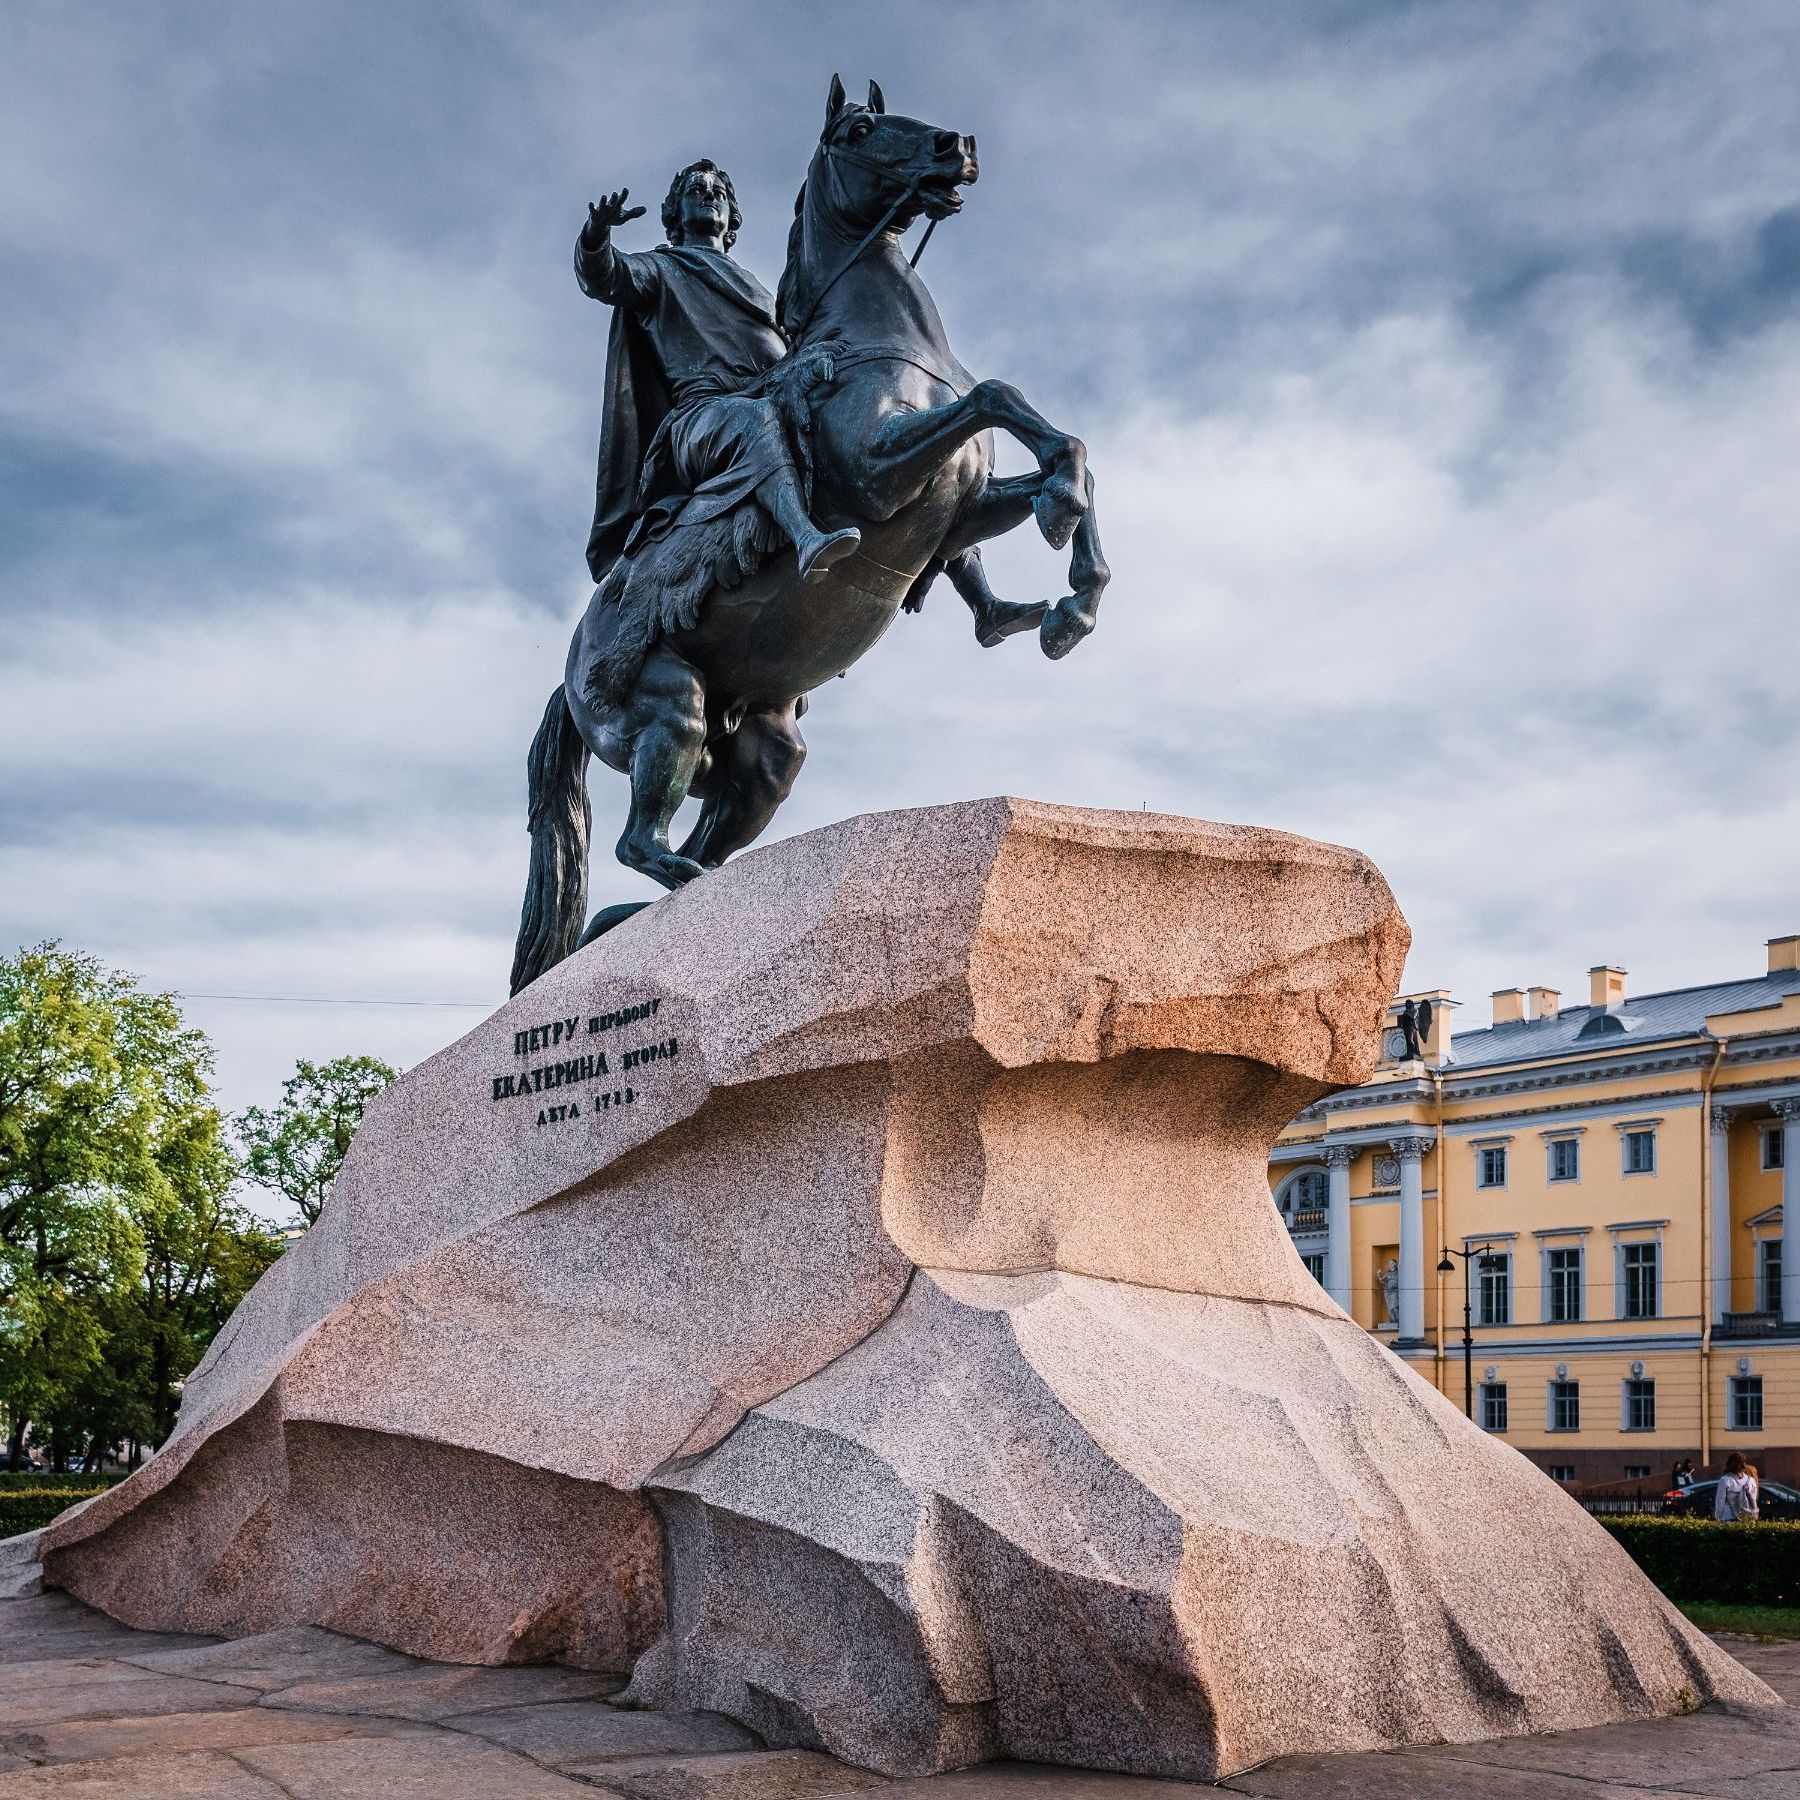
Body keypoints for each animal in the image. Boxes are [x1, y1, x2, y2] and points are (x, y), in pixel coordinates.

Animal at [511, 77, 1108, 993]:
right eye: (860, 130)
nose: (958, 146)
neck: (875, 340)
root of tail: (568, 681)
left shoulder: (960, 504)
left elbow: (1055, 451)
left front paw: (1071, 594)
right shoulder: (876, 474)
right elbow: (999, 395)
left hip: (764, 758)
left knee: (687, 844)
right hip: (668, 710)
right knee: (641, 842)